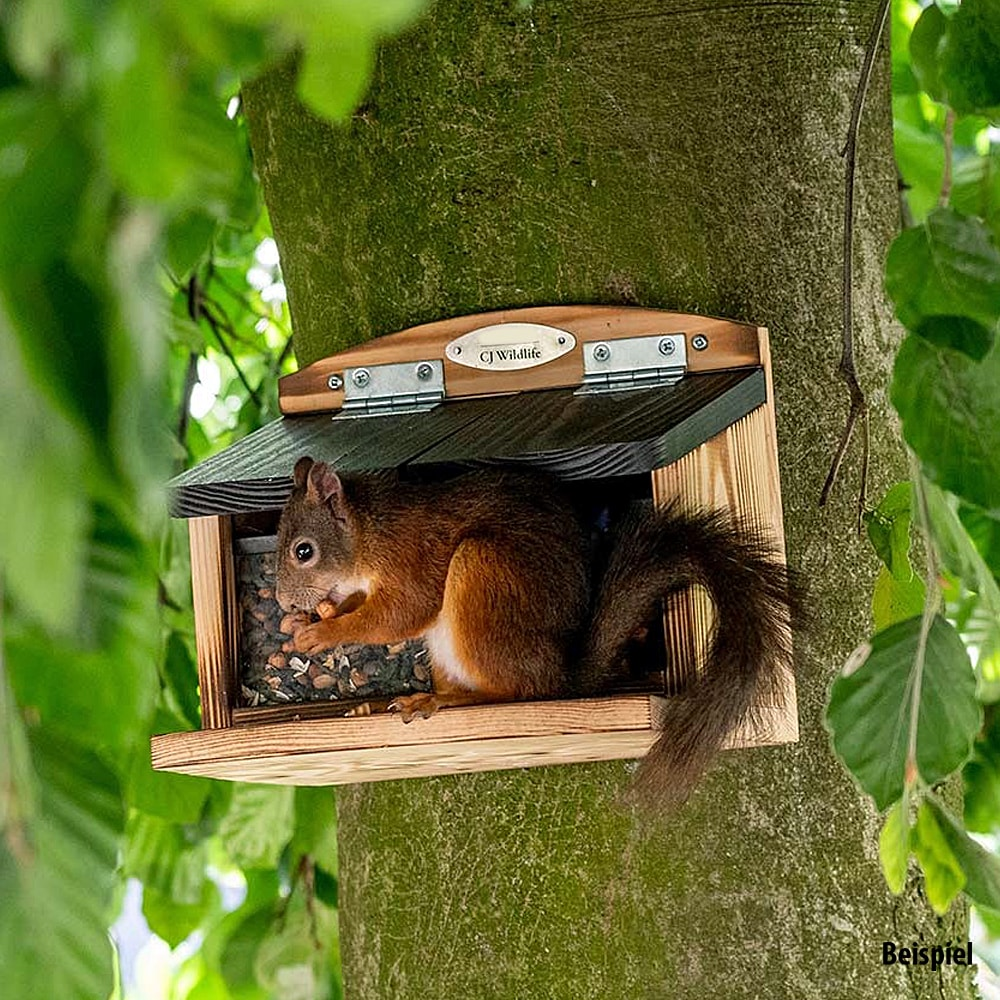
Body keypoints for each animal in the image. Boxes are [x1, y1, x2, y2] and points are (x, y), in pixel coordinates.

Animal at [275, 456, 798, 808]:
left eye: (304, 551)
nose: (280, 601)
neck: (367, 533)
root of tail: (561, 676)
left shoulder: (411, 557)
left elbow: (401, 613)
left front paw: (323, 633)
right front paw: (309, 621)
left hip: (482, 571)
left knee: (515, 692)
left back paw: (443, 701)